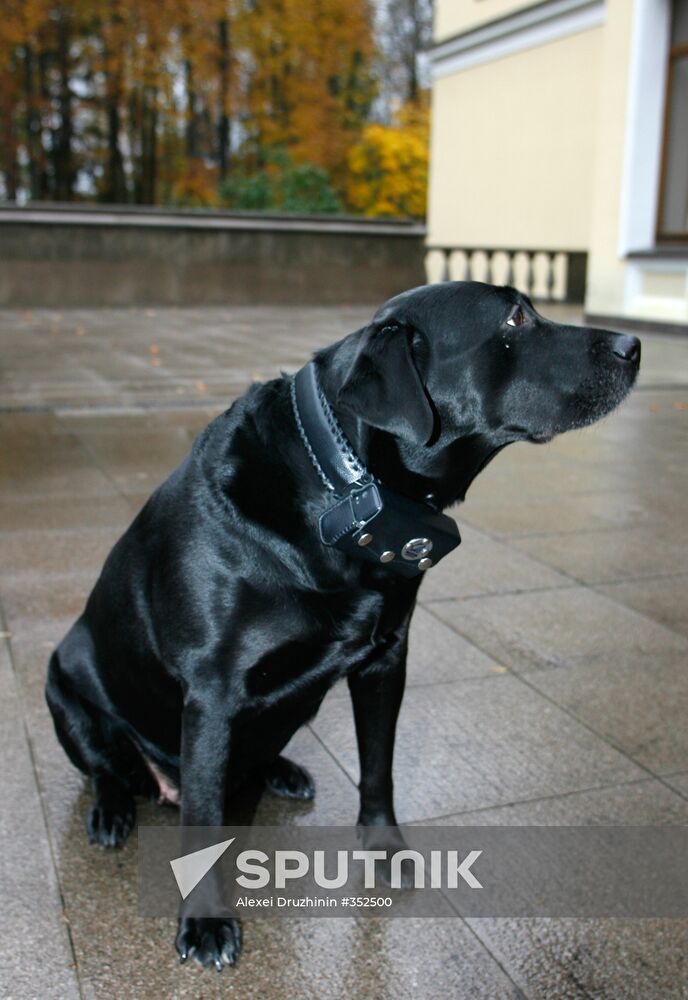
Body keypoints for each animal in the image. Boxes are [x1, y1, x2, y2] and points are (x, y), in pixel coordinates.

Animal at [47, 282, 640, 968]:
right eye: (516, 318)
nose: (634, 344)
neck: (343, 487)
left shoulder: (385, 659)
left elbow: (378, 766)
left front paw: (383, 850)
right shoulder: (212, 692)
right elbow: (202, 814)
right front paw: (205, 922)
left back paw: (280, 771)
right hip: (62, 683)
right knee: (107, 768)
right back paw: (113, 811)